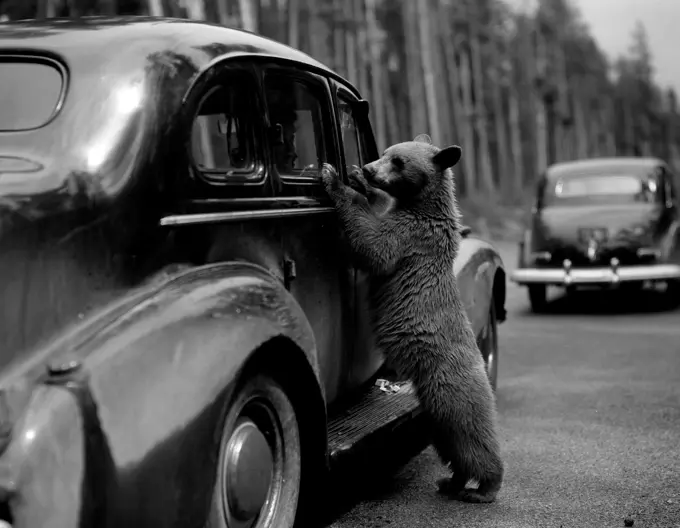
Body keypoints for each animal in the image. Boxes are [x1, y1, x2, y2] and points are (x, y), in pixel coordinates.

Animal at [322, 133, 502, 504]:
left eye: (399, 161)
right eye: (385, 152)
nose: (368, 168)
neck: (422, 204)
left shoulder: (412, 236)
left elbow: (375, 246)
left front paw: (335, 179)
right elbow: (377, 216)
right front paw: (357, 180)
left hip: (448, 391)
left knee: (471, 439)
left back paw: (484, 488)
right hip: (435, 415)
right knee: (452, 448)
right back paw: (452, 481)